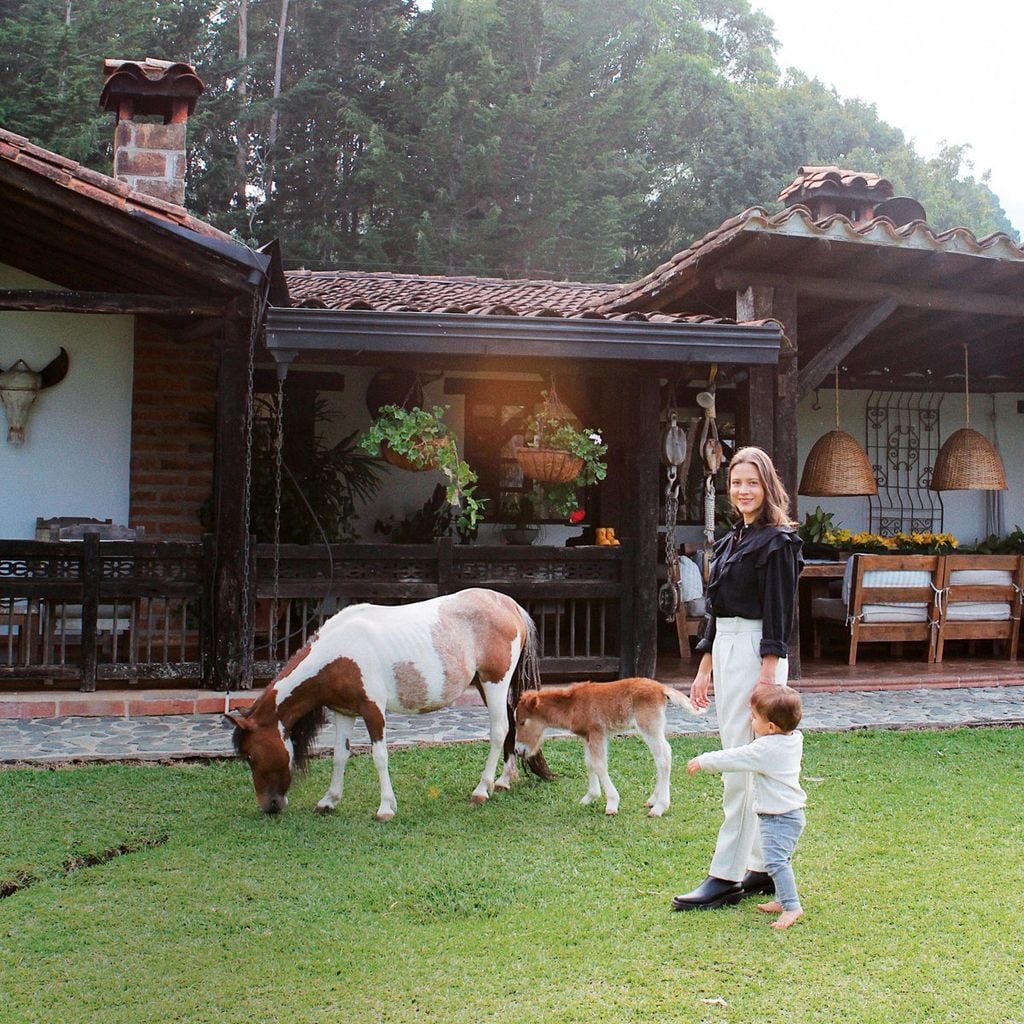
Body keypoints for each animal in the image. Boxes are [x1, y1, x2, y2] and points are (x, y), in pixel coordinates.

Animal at [227, 589, 552, 819]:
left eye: (250, 755)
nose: (270, 805)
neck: (339, 650)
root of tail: (509, 605)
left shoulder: (373, 711)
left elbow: (379, 756)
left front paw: (385, 808)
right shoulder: (344, 712)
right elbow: (340, 756)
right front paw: (328, 801)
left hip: (495, 682)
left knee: (498, 730)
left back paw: (482, 790)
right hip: (487, 686)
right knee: (510, 726)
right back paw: (504, 781)